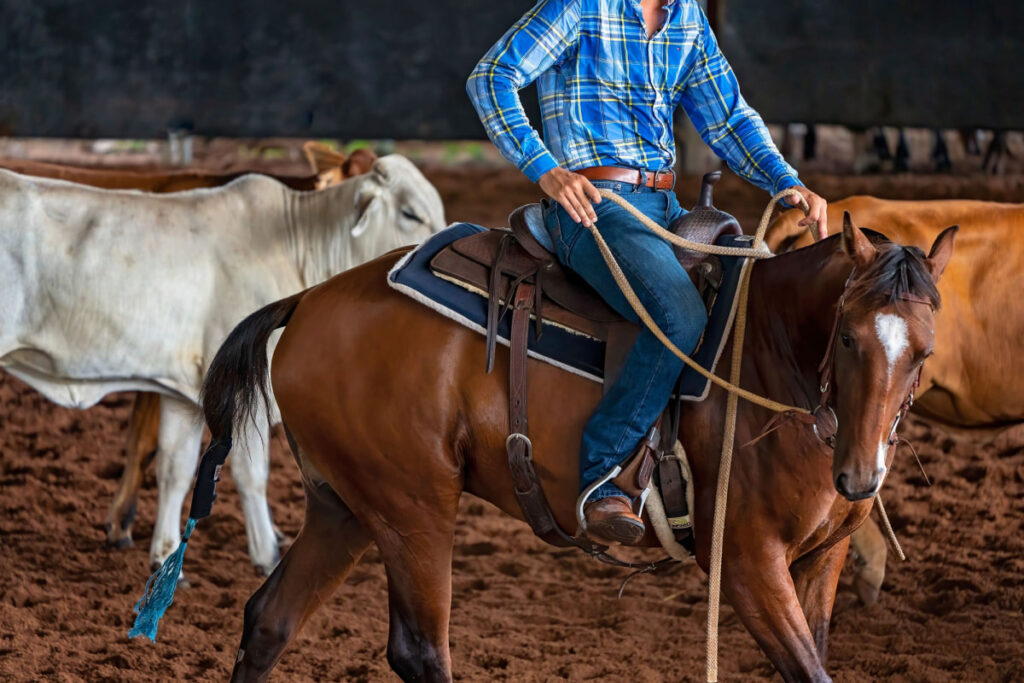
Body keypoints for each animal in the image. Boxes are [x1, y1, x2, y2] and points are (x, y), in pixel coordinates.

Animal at [0, 154, 444, 573]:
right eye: (410, 213)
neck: (298, 245)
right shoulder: (247, 390)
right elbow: (251, 475)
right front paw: (266, 554)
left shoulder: (184, 394)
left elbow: (175, 471)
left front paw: (165, 559)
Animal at [195, 215, 954, 679]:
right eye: (847, 337)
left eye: (924, 352)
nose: (859, 476)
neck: (768, 353)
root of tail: (309, 298)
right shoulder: (745, 561)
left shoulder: (822, 558)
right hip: (412, 507)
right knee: (419, 649)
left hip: (346, 509)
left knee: (268, 620)